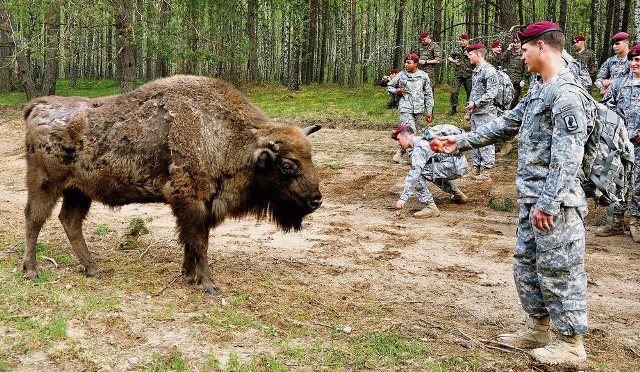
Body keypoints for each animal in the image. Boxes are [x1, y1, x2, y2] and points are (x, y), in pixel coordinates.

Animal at [22, 75, 322, 294]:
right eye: (288, 166)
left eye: (310, 157)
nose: (316, 200)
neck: (220, 136)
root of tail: (37, 106)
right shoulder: (191, 201)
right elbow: (199, 243)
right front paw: (209, 285)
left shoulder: (199, 206)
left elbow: (191, 241)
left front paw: (189, 275)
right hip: (45, 184)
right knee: (34, 219)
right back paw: (32, 271)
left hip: (79, 190)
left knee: (70, 221)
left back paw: (94, 269)